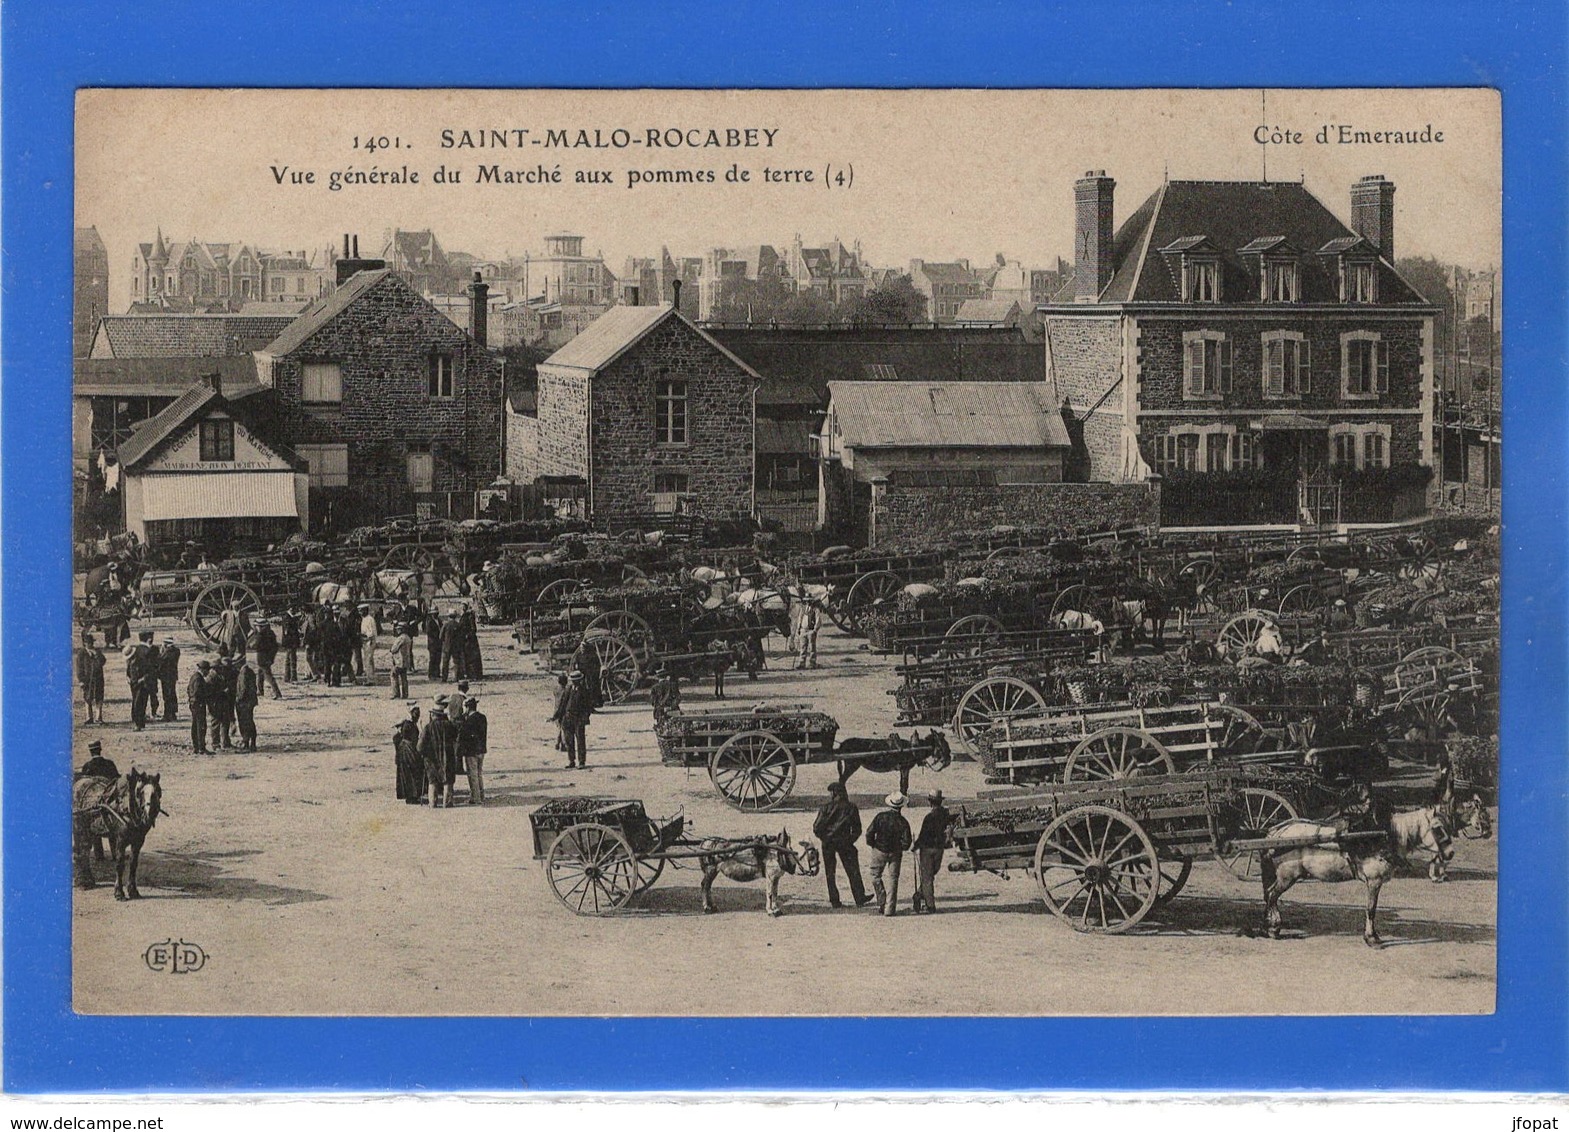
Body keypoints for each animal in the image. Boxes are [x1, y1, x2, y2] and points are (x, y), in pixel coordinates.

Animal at [73, 763, 163, 898]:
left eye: (158, 791)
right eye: (139, 792)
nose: (149, 815)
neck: (126, 808)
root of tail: (78, 783)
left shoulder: (138, 841)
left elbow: (133, 864)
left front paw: (133, 890)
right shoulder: (120, 840)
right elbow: (120, 864)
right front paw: (119, 892)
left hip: (89, 831)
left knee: (85, 850)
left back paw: (88, 880)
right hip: (79, 828)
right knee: (80, 852)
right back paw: (83, 882)